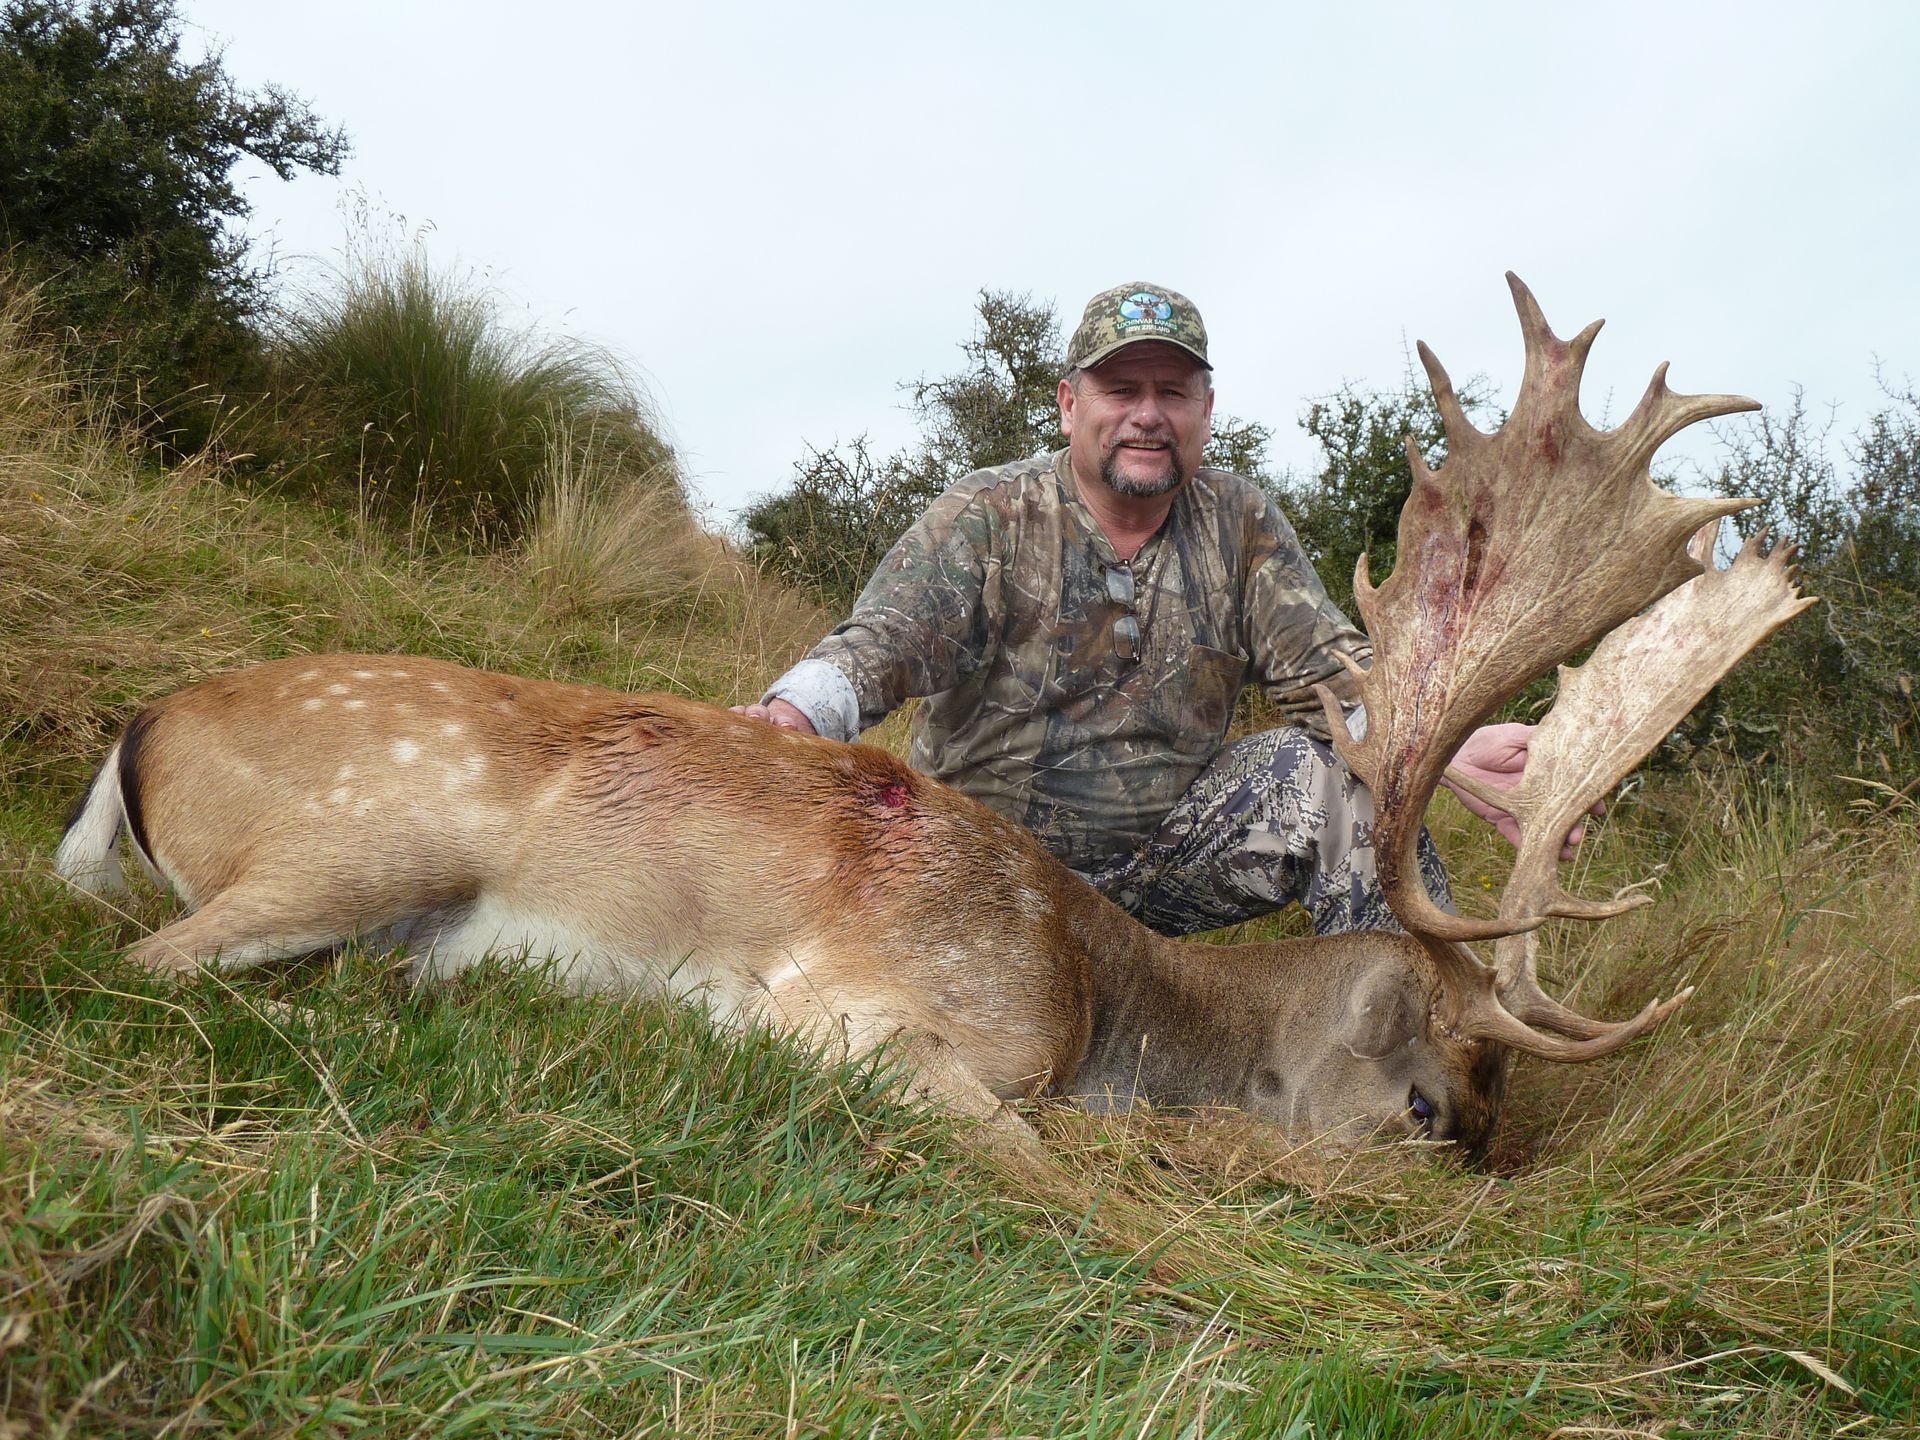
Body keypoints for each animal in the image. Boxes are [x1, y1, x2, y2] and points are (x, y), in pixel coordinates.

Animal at [52, 276, 1812, 1158]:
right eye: (1438, 1108)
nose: (1462, 1195)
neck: (1103, 1004)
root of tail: (146, 724)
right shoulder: (900, 1018)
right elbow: (1016, 1142)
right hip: (367, 832)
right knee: (148, 962)